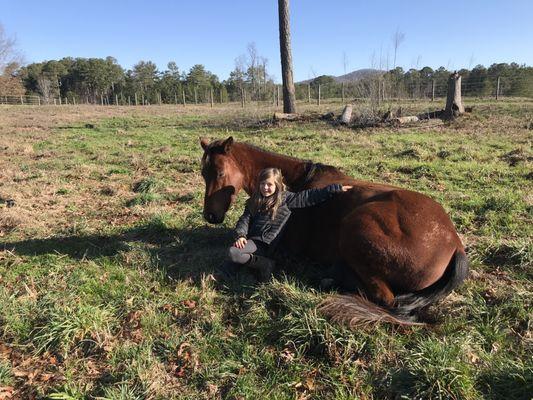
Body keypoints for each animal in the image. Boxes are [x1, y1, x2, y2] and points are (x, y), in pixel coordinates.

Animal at [198, 138, 466, 324]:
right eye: (203, 173)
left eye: (220, 173)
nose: (210, 215)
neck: (297, 184)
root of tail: (455, 243)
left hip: (355, 228)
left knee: (384, 298)